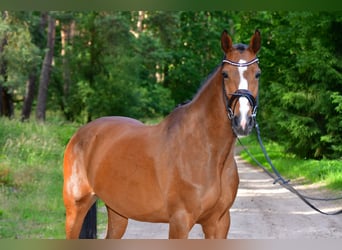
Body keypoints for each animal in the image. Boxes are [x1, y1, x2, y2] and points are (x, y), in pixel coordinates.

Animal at [63, 29, 262, 238]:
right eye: (225, 74)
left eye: (257, 74)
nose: (242, 121)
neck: (208, 153)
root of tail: (80, 135)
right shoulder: (180, 221)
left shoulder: (219, 223)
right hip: (76, 209)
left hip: (118, 211)